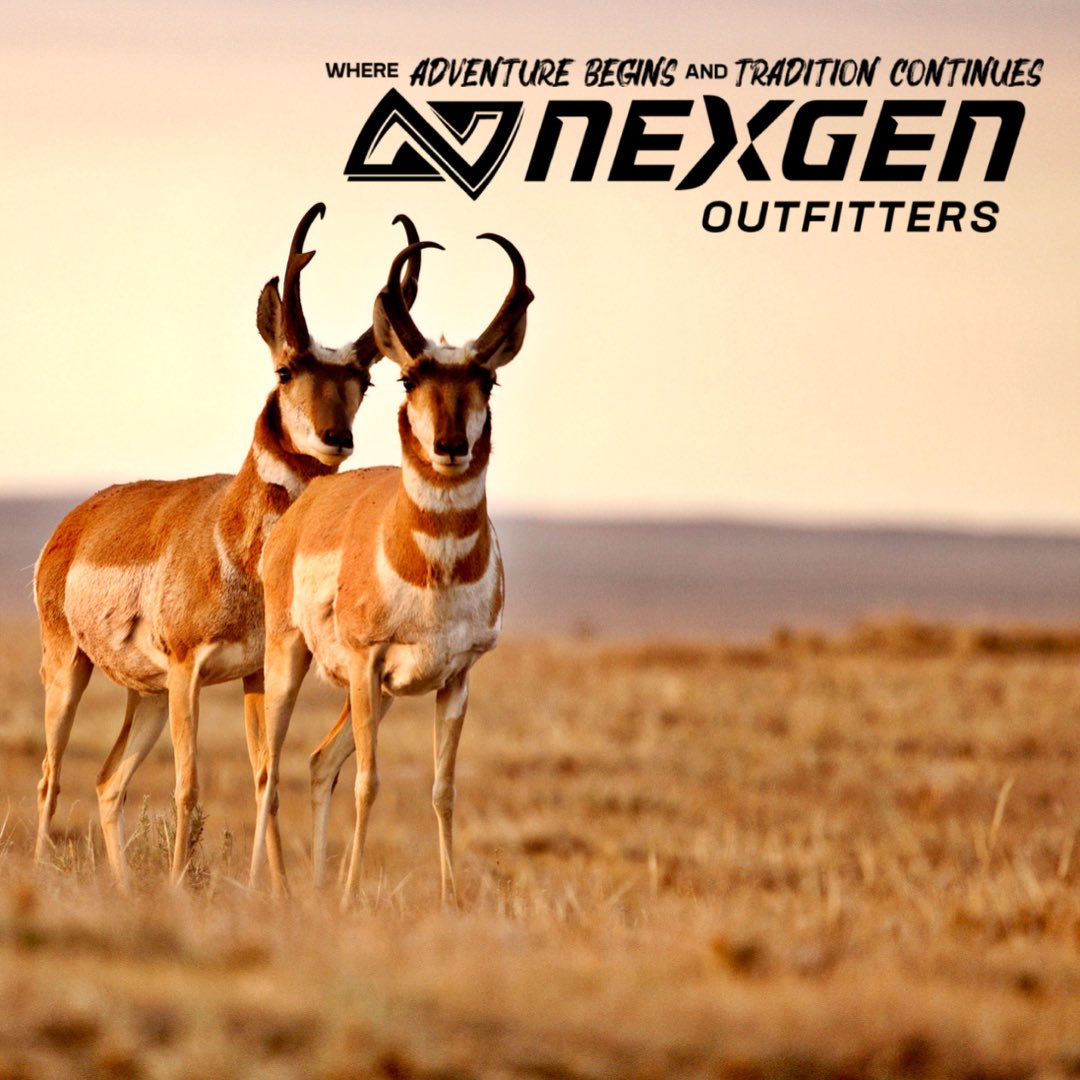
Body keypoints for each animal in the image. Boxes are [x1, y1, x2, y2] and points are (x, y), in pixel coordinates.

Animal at [33, 204, 422, 891]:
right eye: (286, 369)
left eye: (364, 381)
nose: (336, 438)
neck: (233, 544)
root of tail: (77, 520)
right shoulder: (189, 671)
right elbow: (188, 788)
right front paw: (182, 889)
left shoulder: (254, 675)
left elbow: (265, 778)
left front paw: (281, 895)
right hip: (70, 668)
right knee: (50, 778)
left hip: (146, 696)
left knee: (107, 782)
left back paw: (126, 889)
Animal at [249, 232, 532, 905]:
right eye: (407, 377)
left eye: (488, 381)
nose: (451, 447)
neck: (435, 571)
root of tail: (309, 503)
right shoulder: (367, 661)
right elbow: (369, 783)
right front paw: (353, 896)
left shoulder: (456, 678)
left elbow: (443, 790)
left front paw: (451, 900)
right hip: (292, 660)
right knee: (271, 768)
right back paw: (258, 887)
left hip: (376, 695)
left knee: (319, 762)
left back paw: (315, 889)